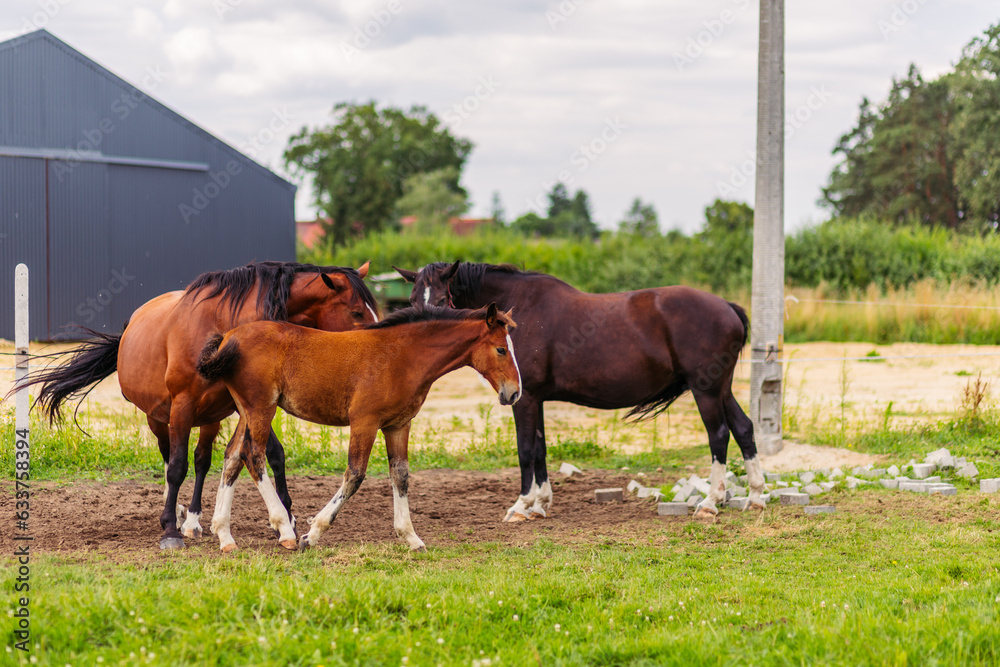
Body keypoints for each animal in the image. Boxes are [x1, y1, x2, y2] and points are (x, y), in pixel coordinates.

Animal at [16, 261, 381, 550]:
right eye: (356, 311)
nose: (378, 339)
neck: (222, 326)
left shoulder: (244, 406)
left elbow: (263, 455)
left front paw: (285, 519)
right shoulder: (183, 406)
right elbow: (177, 467)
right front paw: (169, 530)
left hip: (210, 418)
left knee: (202, 460)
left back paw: (191, 519)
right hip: (159, 418)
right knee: (169, 458)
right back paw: (175, 514)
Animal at [195, 303, 521, 552]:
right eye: (501, 349)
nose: (514, 393)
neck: (402, 356)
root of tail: (228, 338)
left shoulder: (398, 425)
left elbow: (400, 475)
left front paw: (411, 537)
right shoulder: (365, 421)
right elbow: (355, 475)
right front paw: (312, 534)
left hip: (246, 410)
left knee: (233, 457)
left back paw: (224, 535)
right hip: (261, 408)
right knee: (253, 455)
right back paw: (285, 530)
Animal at [394, 261, 765, 521]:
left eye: (443, 298)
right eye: (411, 299)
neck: (521, 310)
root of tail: (728, 307)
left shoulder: (523, 399)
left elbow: (525, 450)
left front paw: (521, 505)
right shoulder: (535, 399)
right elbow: (540, 448)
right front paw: (540, 504)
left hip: (706, 391)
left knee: (719, 435)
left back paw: (711, 503)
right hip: (721, 389)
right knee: (744, 428)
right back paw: (756, 497)